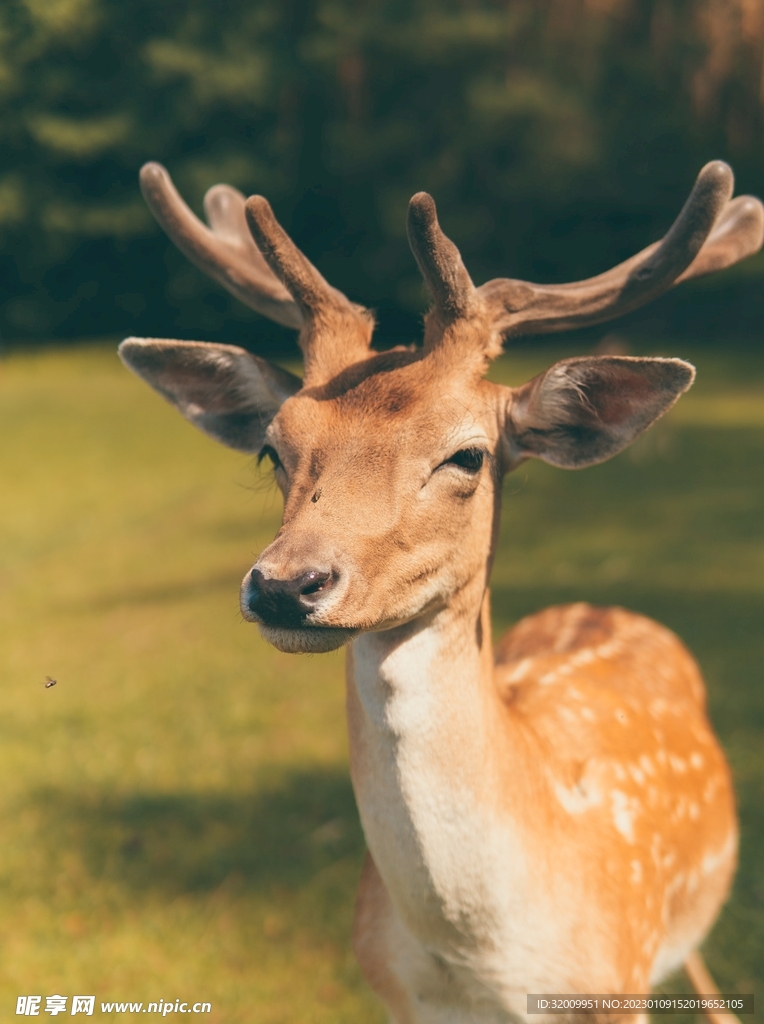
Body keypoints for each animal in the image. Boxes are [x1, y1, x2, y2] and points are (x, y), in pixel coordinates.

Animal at [119, 158, 763, 1024]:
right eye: (272, 449)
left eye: (468, 455)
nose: (288, 584)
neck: (481, 962)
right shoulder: (395, 994)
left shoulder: (619, 980)